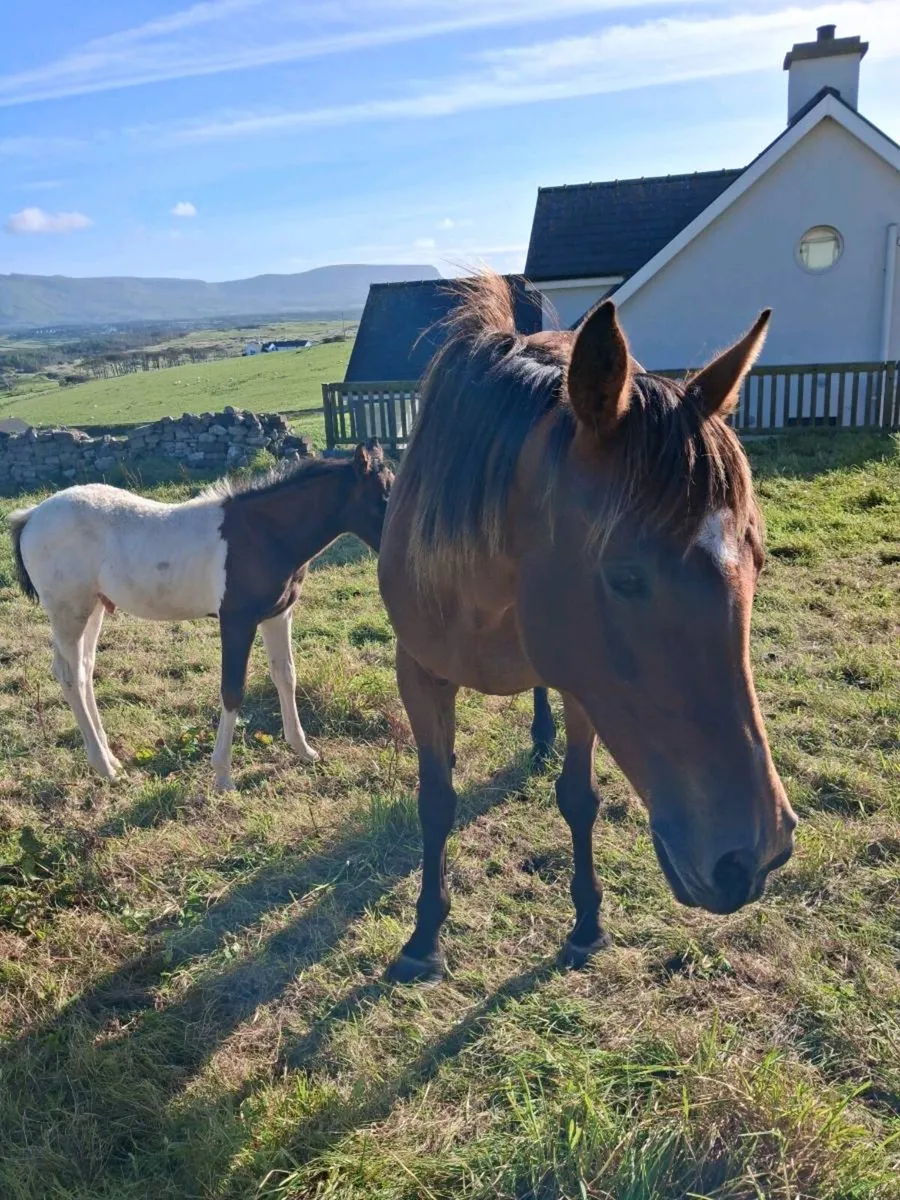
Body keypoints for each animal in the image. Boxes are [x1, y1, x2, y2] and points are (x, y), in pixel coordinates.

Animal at [10, 441, 393, 791]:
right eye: (385, 496)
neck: (263, 533)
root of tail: (31, 516)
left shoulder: (278, 615)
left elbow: (286, 676)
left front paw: (304, 750)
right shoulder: (236, 620)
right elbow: (233, 690)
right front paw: (223, 775)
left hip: (93, 608)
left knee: (85, 669)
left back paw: (110, 757)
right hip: (68, 611)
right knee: (70, 674)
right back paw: (104, 766)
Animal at [378, 274, 798, 983]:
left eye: (759, 559)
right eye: (624, 576)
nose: (753, 856)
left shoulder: (586, 687)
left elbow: (578, 798)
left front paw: (585, 924)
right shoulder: (420, 672)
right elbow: (436, 801)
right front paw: (423, 936)